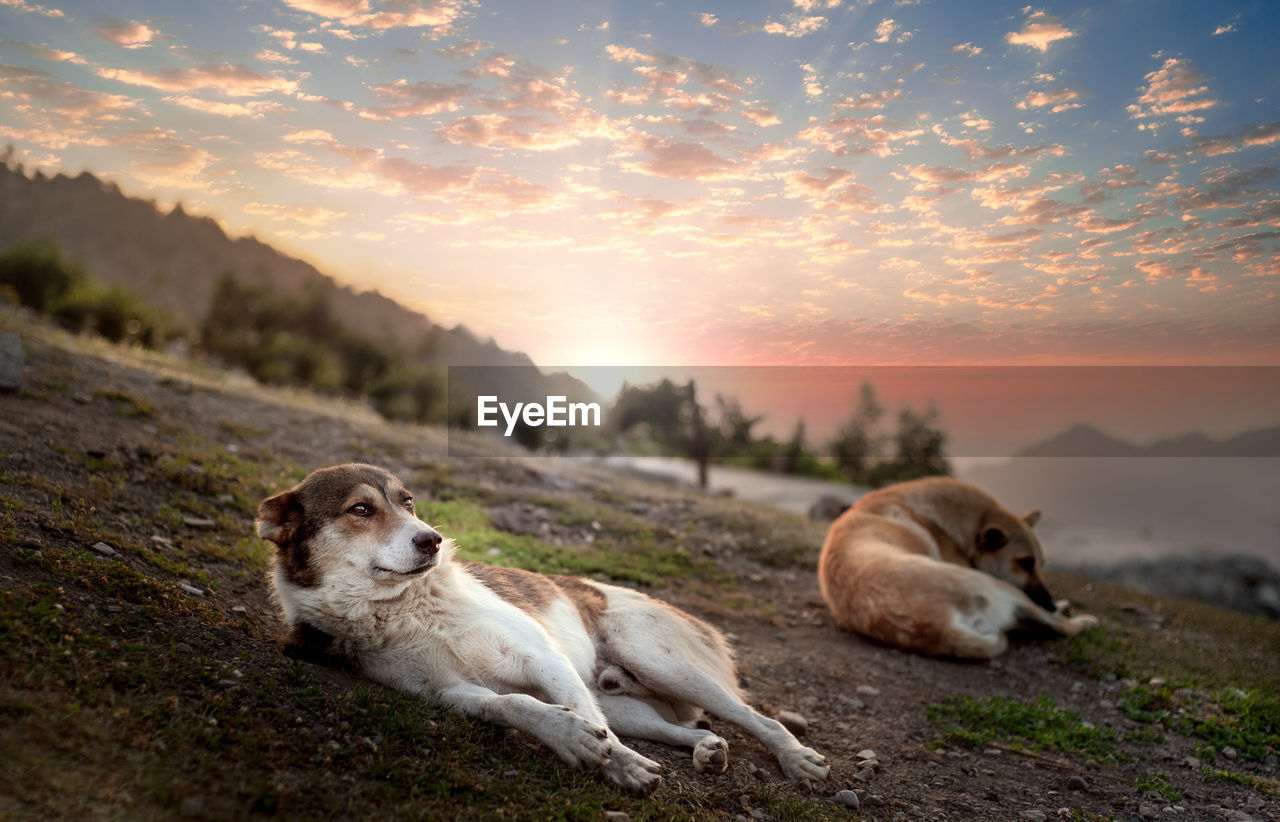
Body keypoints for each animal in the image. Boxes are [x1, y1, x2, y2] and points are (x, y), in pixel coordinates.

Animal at [257, 463, 829, 788]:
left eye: (408, 502)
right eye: (361, 509)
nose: (432, 539)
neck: (407, 608)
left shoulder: (545, 658)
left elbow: (580, 717)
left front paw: (620, 765)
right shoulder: (447, 693)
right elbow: (516, 704)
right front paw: (574, 741)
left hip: (655, 658)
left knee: (754, 717)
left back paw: (798, 760)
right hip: (623, 702)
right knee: (685, 726)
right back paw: (707, 752)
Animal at [819, 473, 1100, 660]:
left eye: (1040, 563)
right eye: (1025, 563)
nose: (1050, 602)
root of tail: (942, 625)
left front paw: (1061, 605)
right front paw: (1063, 610)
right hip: (997, 587)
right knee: (1057, 626)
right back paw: (1081, 621)